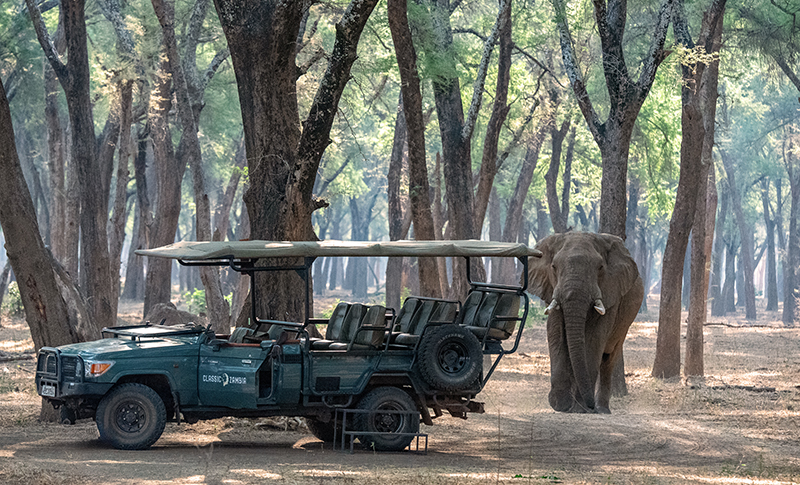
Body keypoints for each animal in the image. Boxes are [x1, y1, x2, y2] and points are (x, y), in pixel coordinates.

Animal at [526, 232, 643, 414]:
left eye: (600, 267)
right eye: (553, 267)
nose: (591, 406)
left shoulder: (611, 294)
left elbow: (594, 340)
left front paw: (579, 408)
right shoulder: (551, 291)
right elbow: (556, 334)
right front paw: (560, 405)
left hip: (625, 322)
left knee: (609, 356)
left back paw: (602, 410)